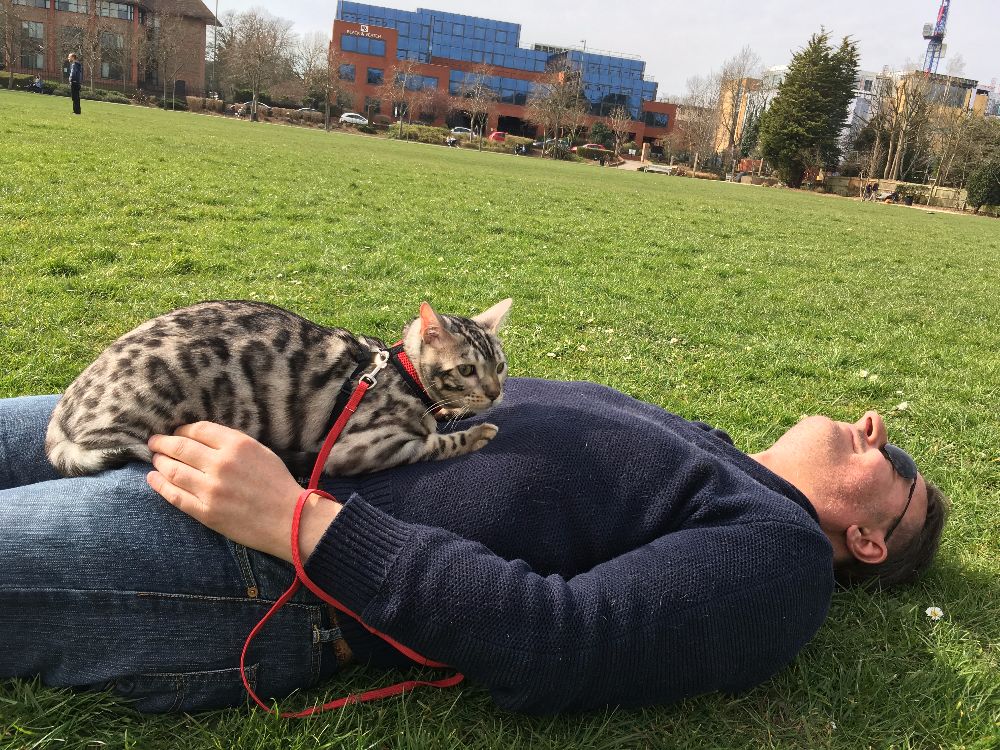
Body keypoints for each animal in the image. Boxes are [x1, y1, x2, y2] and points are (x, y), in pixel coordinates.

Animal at [45, 298, 512, 478]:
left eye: (500, 367)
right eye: (466, 370)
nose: (495, 393)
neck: (404, 373)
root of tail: (62, 421)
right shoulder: (366, 448)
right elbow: (437, 442)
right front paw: (477, 433)